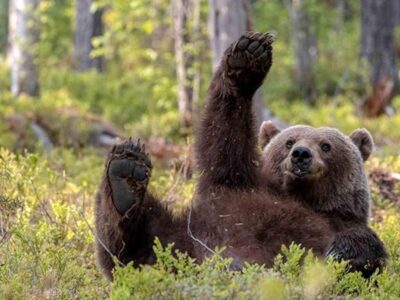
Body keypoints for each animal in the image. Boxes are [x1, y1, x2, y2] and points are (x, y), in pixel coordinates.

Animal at [95, 31, 342, 280]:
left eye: (325, 146)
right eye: (289, 142)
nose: (300, 154)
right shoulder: (234, 184)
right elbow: (224, 139)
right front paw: (247, 58)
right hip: (173, 239)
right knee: (132, 240)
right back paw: (125, 176)